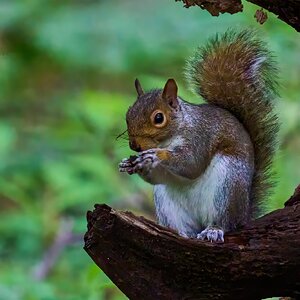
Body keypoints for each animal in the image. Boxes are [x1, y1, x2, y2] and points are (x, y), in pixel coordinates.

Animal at [118, 29, 278, 243]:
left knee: (225, 222)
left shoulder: (200, 136)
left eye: (159, 118)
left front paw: (156, 155)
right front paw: (129, 163)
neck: (172, 136)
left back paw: (214, 230)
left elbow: (192, 163)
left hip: (227, 187)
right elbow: (158, 177)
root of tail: (243, 215)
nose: (134, 146)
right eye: (128, 114)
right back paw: (181, 234)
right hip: (167, 204)